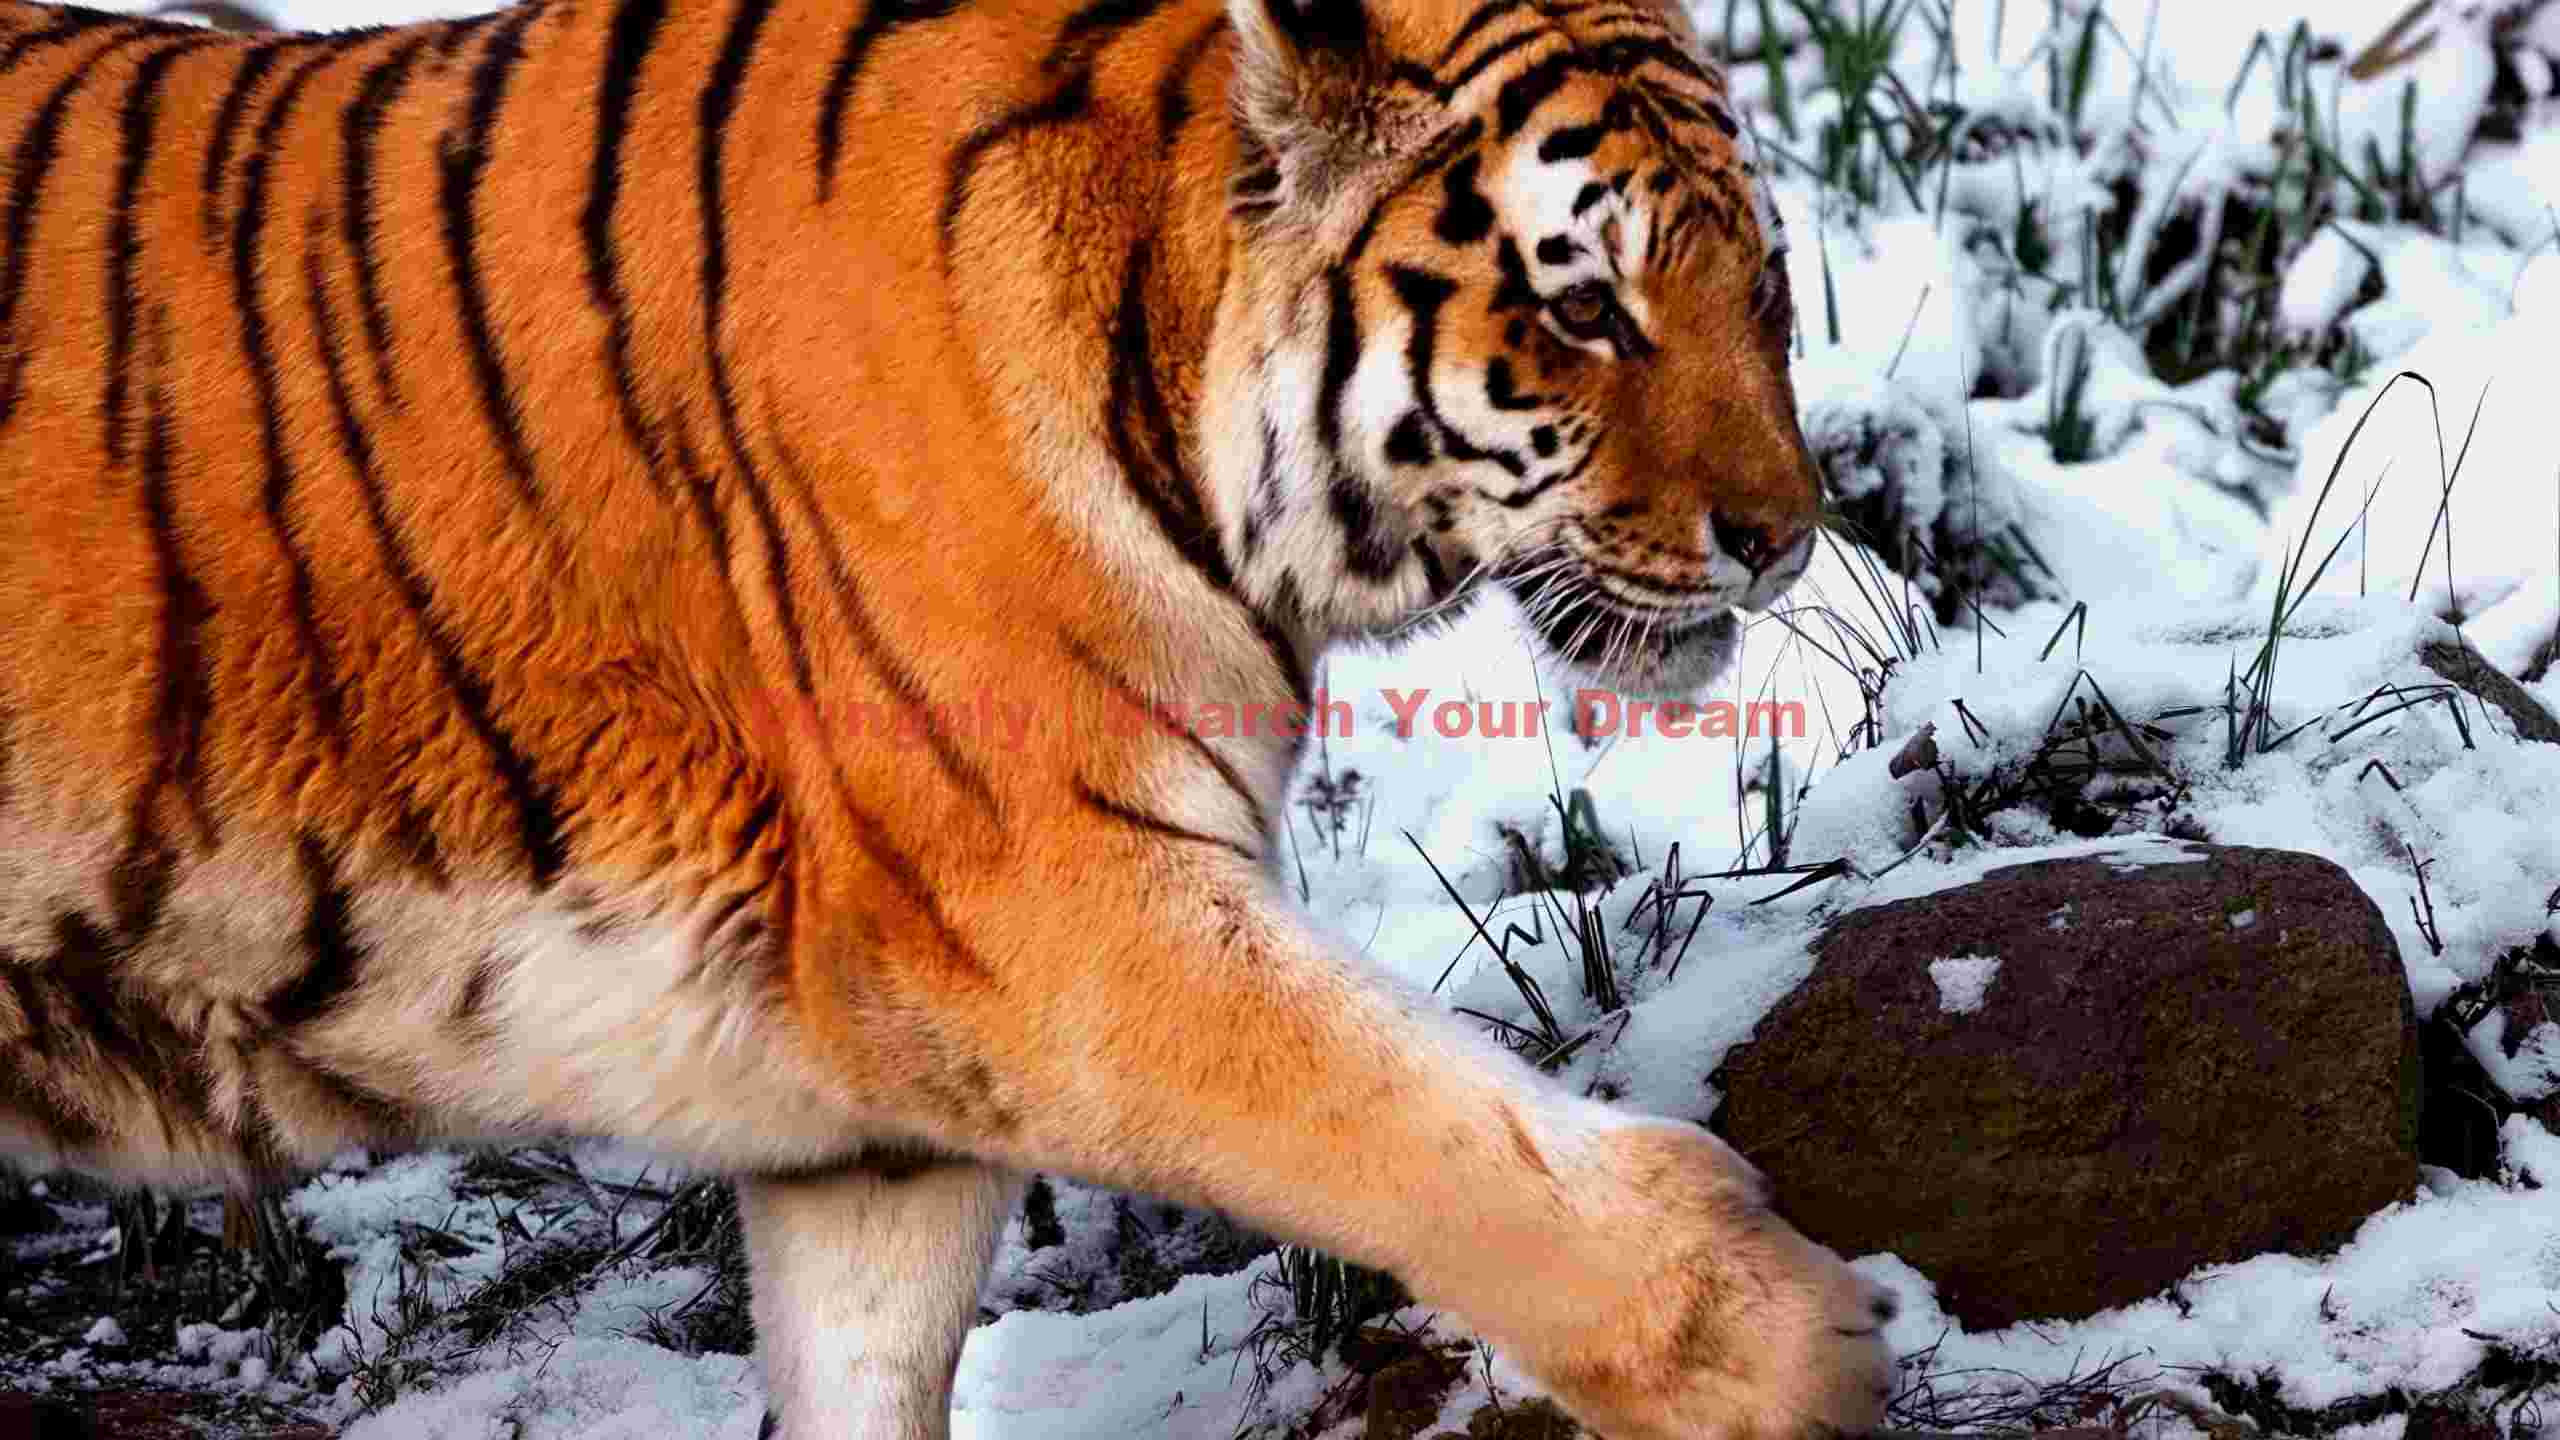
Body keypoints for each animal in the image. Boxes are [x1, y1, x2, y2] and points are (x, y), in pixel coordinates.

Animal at [0, 0, 1892, 1432]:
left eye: (1762, 289)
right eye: (1583, 309)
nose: (1785, 532)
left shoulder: (869, 1111)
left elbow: (863, 1366)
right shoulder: (1053, 922)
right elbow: (1432, 1130)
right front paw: (1792, 1349)